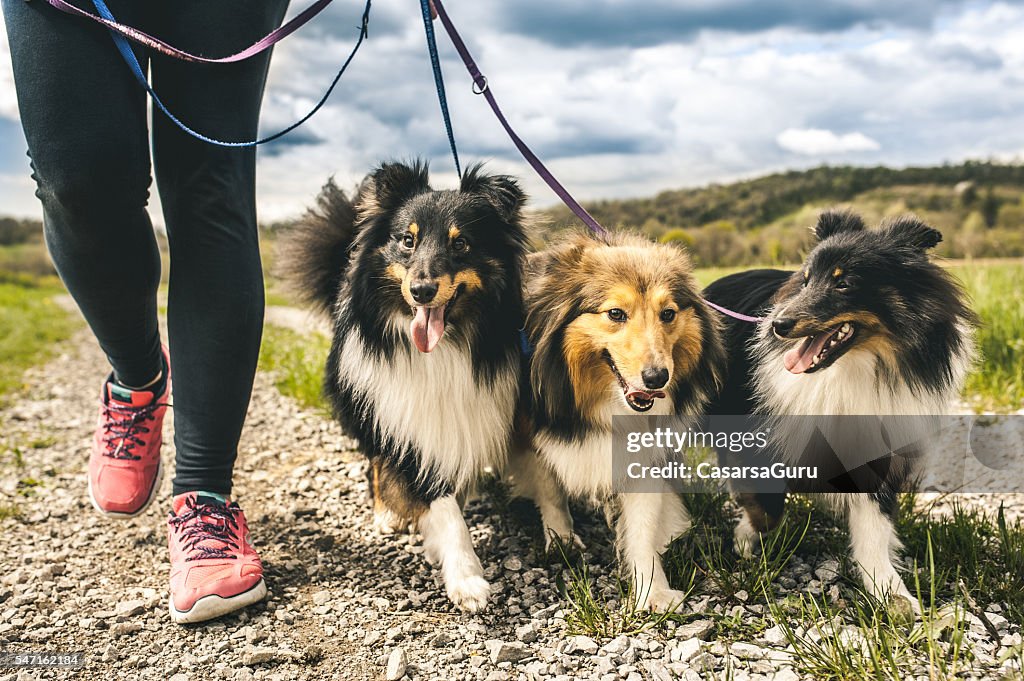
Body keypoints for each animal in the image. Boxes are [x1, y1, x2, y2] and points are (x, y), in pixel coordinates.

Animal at [286, 160, 532, 610]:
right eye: (406, 240)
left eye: (461, 243)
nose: (421, 291)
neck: (444, 347)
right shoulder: (402, 421)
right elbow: (443, 507)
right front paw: (466, 577)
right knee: (375, 460)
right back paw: (386, 513)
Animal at [507, 231, 724, 606]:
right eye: (615, 313)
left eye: (668, 313)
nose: (657, 378)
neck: (604, 403)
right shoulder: (533, 429)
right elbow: (550, 489)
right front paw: (561, 539)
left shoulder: (645, 452)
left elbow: (643, 527)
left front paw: (653, 591)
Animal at [704, 209, 974, 606]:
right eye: (804, 281)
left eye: (844, 284)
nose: (777, 325)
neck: (854, 367)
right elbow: (768, 508)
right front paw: (745, 540)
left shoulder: (879, 442)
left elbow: (874, 527)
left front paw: (892, 594)